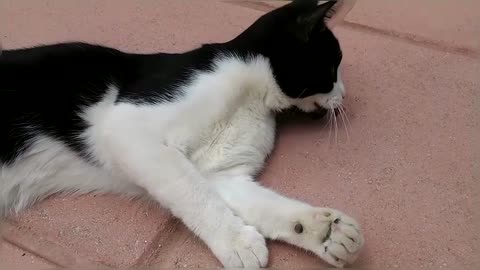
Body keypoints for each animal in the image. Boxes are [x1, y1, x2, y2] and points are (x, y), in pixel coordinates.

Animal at [0, 0, 364, 268]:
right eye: (333, 65)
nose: (344, 95)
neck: (253, 94)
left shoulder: (222, 173)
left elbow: (260, 203)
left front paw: (323, 232)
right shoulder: (127, 129)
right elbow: (193, 194)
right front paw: (236, 242)